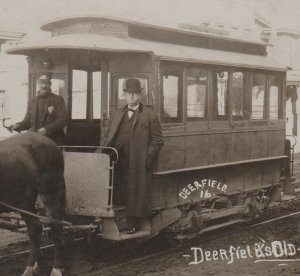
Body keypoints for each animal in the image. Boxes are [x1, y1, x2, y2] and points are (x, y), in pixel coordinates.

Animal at [0, 133, 66, 274]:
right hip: (27, 201)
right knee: (36, 228)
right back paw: (36, 265)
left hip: (46, 193)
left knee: (52, 225)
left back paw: (54, 268)